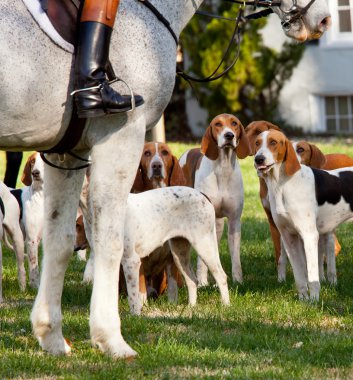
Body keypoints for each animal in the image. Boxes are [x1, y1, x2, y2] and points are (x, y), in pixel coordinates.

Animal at [0, 0, 330, 356]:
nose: (324, 19)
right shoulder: (121, 135)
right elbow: (109, 244)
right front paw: (110, 338)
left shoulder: (66, 154)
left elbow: (59, 244)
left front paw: (52, 337)